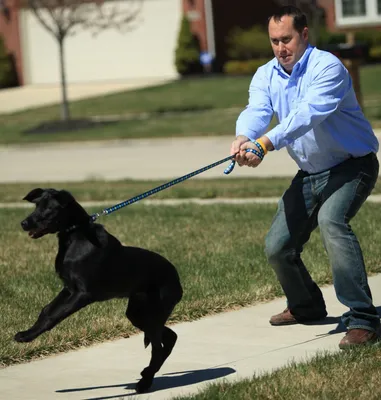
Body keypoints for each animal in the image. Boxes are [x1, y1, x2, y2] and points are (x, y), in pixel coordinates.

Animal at [14, 188, 181, 394]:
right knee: (170, 337)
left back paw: (145, 382)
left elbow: (54, 316)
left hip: (153, 313)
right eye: (37, 205)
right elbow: (46, 311)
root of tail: (177, 279)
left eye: (49, 209)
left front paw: (28, 337)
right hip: (139, 313)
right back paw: (146, 374)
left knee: (157, 348)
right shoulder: (68, 289)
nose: (24, 223)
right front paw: (27, 333)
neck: (76, 235)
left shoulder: (82, 294)